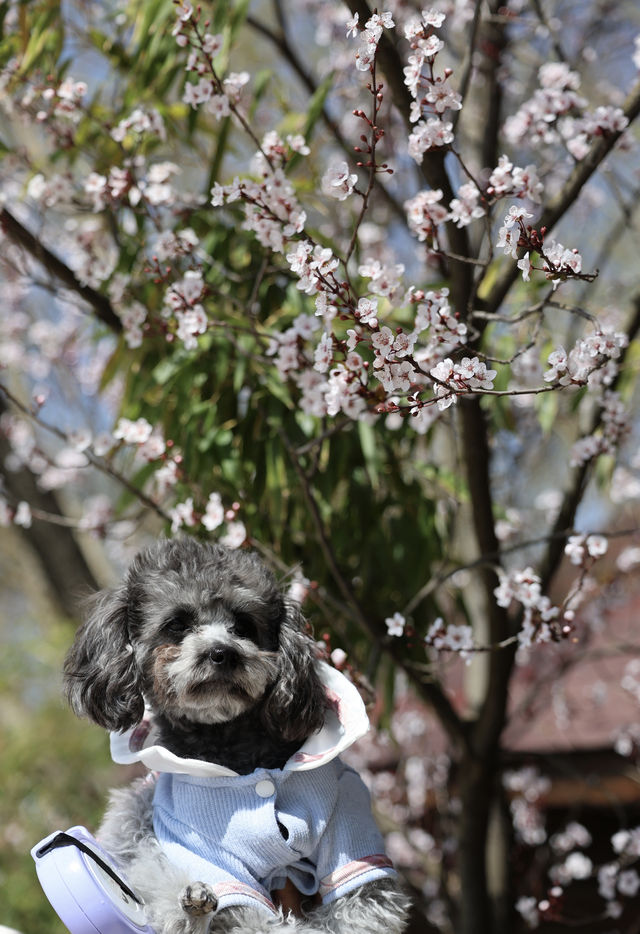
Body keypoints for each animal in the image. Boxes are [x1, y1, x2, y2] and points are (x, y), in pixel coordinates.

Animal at [62, 540, 408, 934]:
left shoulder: (346, 826)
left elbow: (361, 902)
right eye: (176, 625)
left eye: (244, 625)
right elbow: (248, 916)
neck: (233, 747)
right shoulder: (207, 851)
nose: (222, 653)